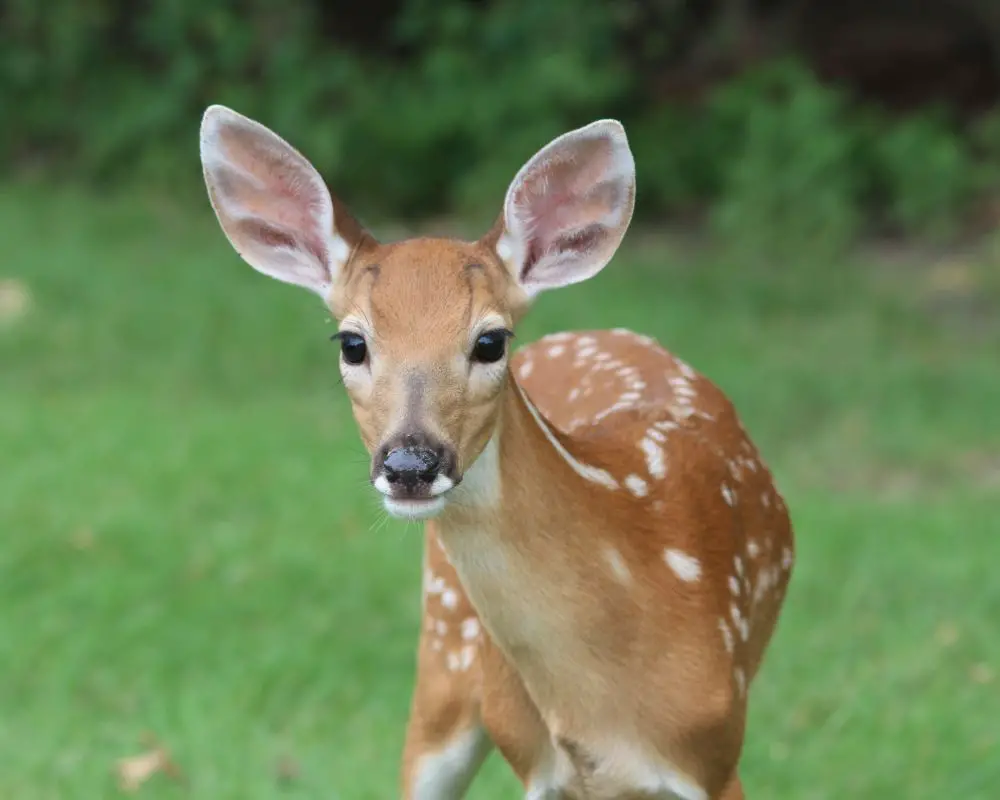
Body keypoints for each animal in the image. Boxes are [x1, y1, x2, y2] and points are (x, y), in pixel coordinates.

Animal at [199, 106, 792, 800]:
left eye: (490, 341)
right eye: (351, 342)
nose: (410, 465)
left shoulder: (715, 755)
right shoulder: (538, 764)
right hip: (445, 659)